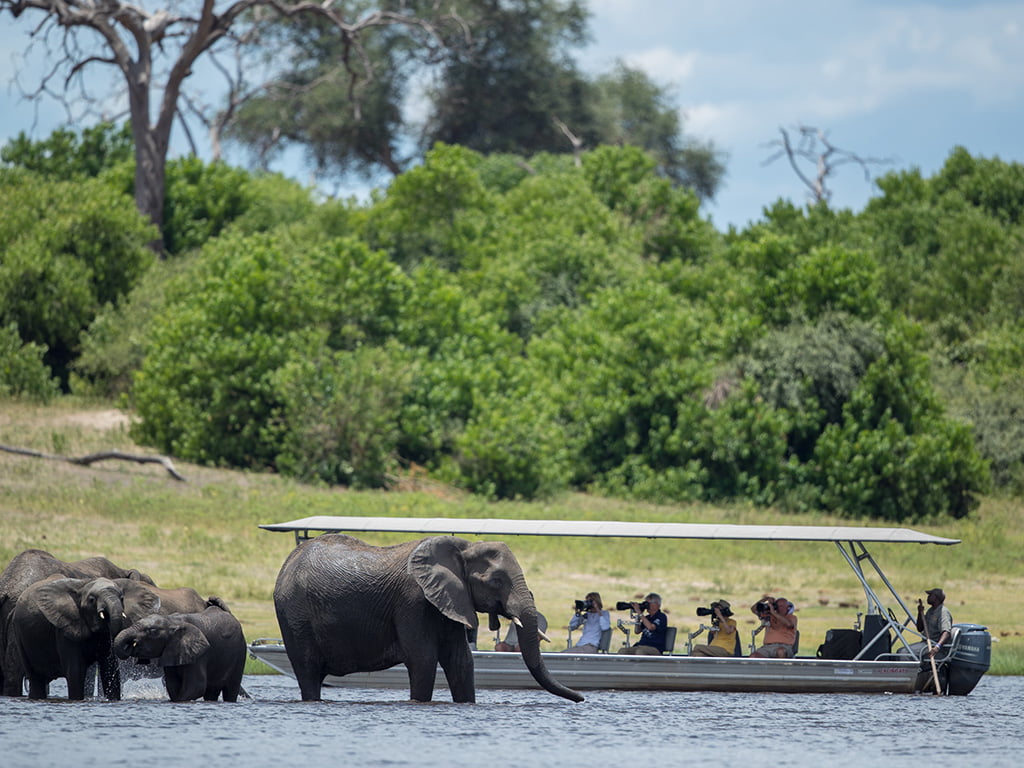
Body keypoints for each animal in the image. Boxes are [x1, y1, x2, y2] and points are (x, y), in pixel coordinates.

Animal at [112, 606, 245, 708]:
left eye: (152, 631)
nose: (132, 643)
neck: (172, 621)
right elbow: (172, 685)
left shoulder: (200, 654)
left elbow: (196, 686)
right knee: (211, 692)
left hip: (239, 654)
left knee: (231, 689)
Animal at [272, 536, 585, 704]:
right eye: (496, 580)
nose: (581, 699)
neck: (463, 548)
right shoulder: (412, 601)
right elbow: (423, 658)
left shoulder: (451, 600)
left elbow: (461, 661)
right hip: (294, 616)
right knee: (308, 671)